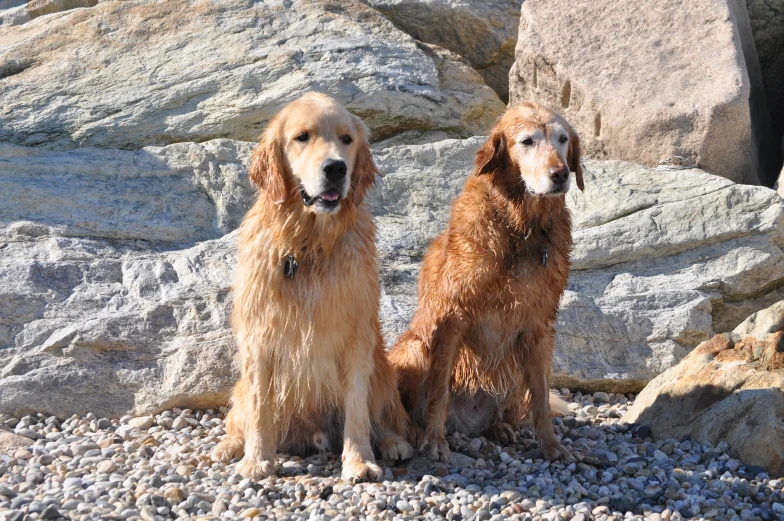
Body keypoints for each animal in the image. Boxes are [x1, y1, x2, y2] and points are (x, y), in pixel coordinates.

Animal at [211, 92, 414, 480]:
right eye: (302, 137)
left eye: (347, 139)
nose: (336, 168)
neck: (308, 244)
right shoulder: (258, 338)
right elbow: (259, 410)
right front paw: (257, 460)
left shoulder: (356, 336)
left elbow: (357, 410)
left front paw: (359, 461)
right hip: (241, 389)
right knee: (239, 418)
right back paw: (229, 446)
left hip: (383, 372)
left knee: (387, 418)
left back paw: (395, 443)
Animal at [390, 100, 580, 460]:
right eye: (527, 141)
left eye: (563, 139)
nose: (560, 174)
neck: (519, 228)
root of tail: (462, 423)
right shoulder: (450, 317)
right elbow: (438, 391)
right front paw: (434, 441)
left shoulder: (539, 328)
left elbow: (542, 399)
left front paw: (552, 446)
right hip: (416, 348)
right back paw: (419, 432)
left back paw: (500, 427)